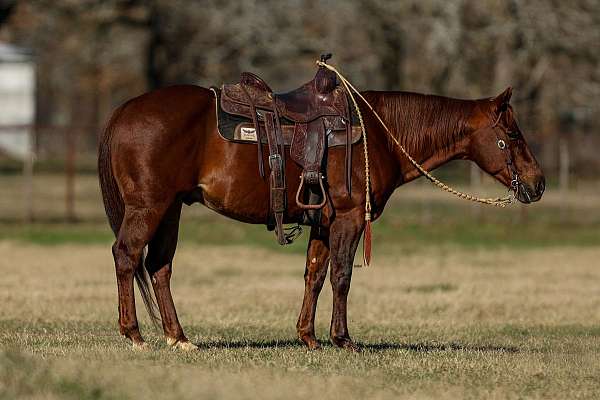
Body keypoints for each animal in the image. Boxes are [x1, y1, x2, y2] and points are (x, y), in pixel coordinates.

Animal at [97, 84, 544, 350]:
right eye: (513, 135)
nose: (538, 183)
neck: (378, 135)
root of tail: (123, 112)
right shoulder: (349, 218)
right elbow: (341, 277)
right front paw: (343, 339)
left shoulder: (324, 224)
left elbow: (314, 275)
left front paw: (308, 337)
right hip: (149, 207)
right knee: (126, 256)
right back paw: (134, 333)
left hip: (171, 209)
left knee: (159, 267)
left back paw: (178, 337)